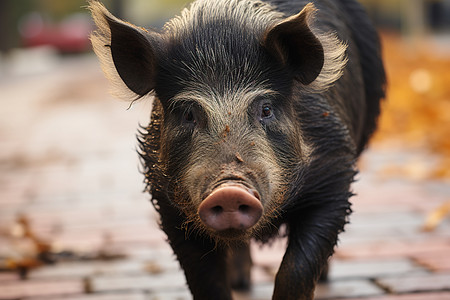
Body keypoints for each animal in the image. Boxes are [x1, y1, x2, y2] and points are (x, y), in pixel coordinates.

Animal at [89, 0, 384, 298]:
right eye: (188, 114)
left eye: (266, 109)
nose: (229, 190)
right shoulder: (167, 202)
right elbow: (206, 280)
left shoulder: (336, 174)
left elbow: (296, 268)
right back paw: (241, 283)